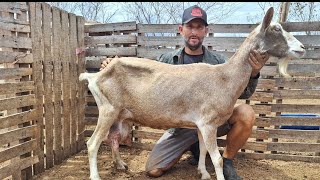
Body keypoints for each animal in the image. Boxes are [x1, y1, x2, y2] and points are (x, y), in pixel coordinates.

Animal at [79, 7, 304, 180]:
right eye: (276, 28)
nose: (301, 48)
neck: (224, 77)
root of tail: (95, 76)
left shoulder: (202, 125)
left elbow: (203, 150)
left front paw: (202, 173)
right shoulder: (208, 123)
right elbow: (217, 158)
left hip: (121, 116)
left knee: (113, 138)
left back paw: (120, 165)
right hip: (108, 109)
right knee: (92, 143)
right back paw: (95, 176)